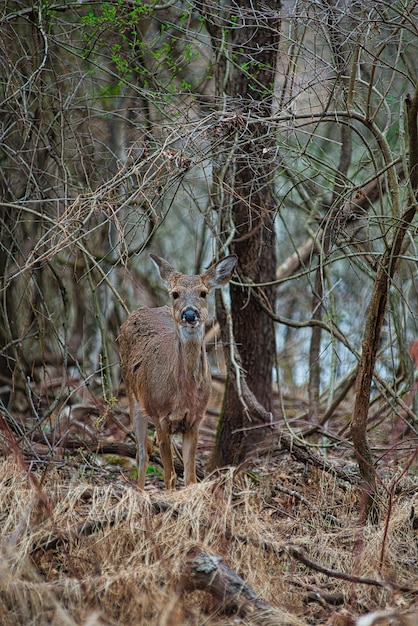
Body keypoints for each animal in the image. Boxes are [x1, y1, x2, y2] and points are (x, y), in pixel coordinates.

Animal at [119, 254, 237, 488]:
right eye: (175, 294)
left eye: (203, 292)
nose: (189, 314)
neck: (184, 394)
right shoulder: (160, 415)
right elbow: (170, 476)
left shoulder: (195, 420)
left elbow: (190, 477)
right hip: (133, 396)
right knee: (142, 451)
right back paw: (140, 489)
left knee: (147, 448)